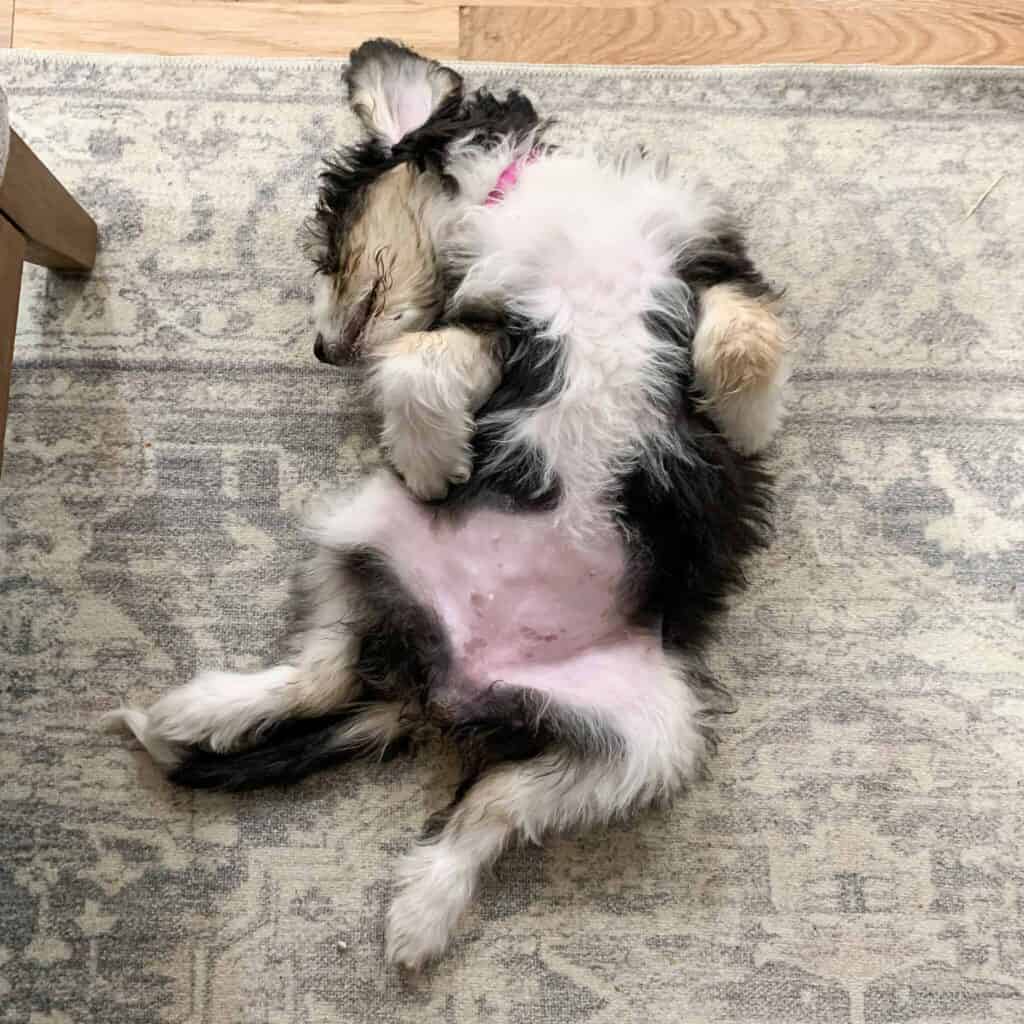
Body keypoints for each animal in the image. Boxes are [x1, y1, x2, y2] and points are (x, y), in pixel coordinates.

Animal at [103, 39, 786, 966]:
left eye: (329, 240)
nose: (320, 349)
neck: (534, 204)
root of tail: (445, 685)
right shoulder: (490, 320)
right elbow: (416, 361)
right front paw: (432, 460)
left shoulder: (712, 265)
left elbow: (747, 338)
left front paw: (748, 417)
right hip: (362, 529)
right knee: (323, 674)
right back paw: (203, 709)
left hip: (644, 734)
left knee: (486, 806)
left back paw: (421, 909)